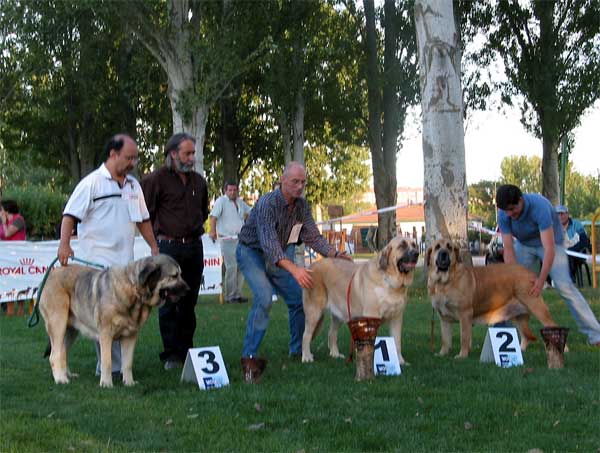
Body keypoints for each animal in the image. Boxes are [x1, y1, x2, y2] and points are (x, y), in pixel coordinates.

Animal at [38, 254, 188, 384]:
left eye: (180, 274)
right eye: (174, 276)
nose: (189, 289)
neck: (134, 290)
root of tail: (49, 276)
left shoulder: (130, 336)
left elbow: (127, 363)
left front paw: (129, 383)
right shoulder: (105, 334)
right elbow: (107, 362)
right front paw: (106, 384)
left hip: (70, 330)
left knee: (62, 352)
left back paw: (67, 375)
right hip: (58, 323)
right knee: (54, 355)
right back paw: (61, 379)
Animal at [302, 235, 420, 366]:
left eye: (414, 245)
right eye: (402, 246)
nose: (417, 253)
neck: (389, 281)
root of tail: (310, 267)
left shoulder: (397, 318)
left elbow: (397, 341)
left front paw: (400, 361)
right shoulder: (371, 317)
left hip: (339, 314)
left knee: (331, 333)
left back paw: (335, 354)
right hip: (314, 312)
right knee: (306, 335)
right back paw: (306, 357)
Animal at [426, 238, 556, 358]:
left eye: (450, 247)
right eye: (437, 247)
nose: (444, 253)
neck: (443, 282)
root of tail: (530, 273)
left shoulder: (465, 314)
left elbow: (464, 337)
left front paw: (462, 356)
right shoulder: (444, 318)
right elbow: (445, 339)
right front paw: (442, 354)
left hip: (537, 308)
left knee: (551, 326)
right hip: (518, 316)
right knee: (526, 336)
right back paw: (520, 351)